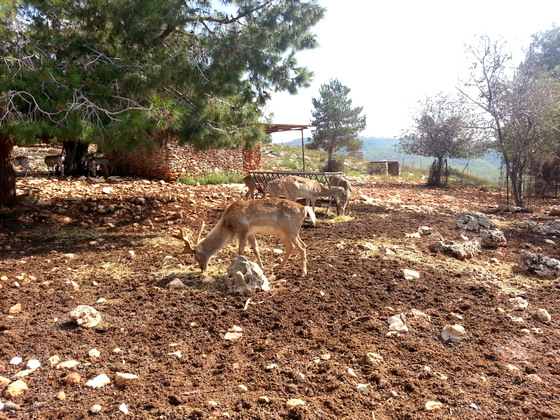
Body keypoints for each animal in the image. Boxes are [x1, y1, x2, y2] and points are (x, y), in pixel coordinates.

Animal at [172, 199, 316, 276]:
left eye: (196, 256)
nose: (202, 269)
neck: (228, 227)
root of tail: (304, 208)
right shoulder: (250, 233)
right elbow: (256, 249)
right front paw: (261, 267)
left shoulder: (243, 231)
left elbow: (240, 251)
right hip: (283, 232)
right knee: (290, 246)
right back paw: (279, 266)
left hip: (291, 229)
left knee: (302, 246)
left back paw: (303, 272)